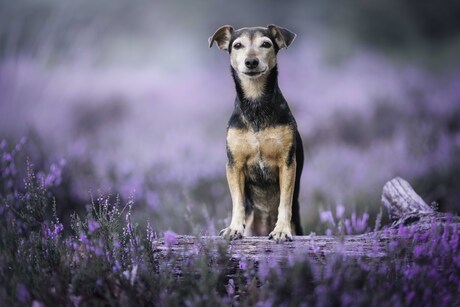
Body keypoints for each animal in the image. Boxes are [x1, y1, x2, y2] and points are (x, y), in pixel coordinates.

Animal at [209, 24, 304, 243]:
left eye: (266, 44)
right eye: (237, 45)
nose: (251, 61)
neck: (256, 104)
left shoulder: (287, 162)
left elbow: (285, 201)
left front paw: (281, 230)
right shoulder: (234, 164)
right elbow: (237, 201)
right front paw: (234, 228)